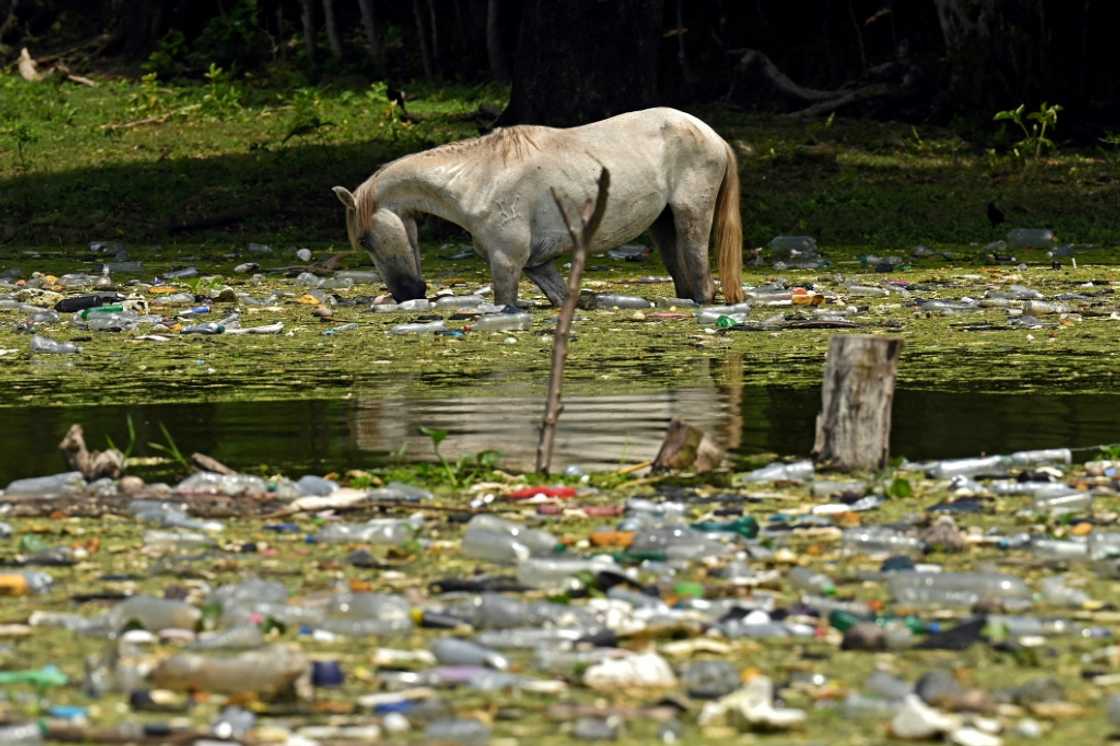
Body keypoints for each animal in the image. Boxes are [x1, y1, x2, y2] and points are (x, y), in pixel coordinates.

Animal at [332, 107, 744, 306]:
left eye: (365, 240)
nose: (408, 294)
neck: (479, 178)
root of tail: (713, 135)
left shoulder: (507, 264)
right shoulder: (537, 265)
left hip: (691, 220)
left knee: (703, 285)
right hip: (664, 226)